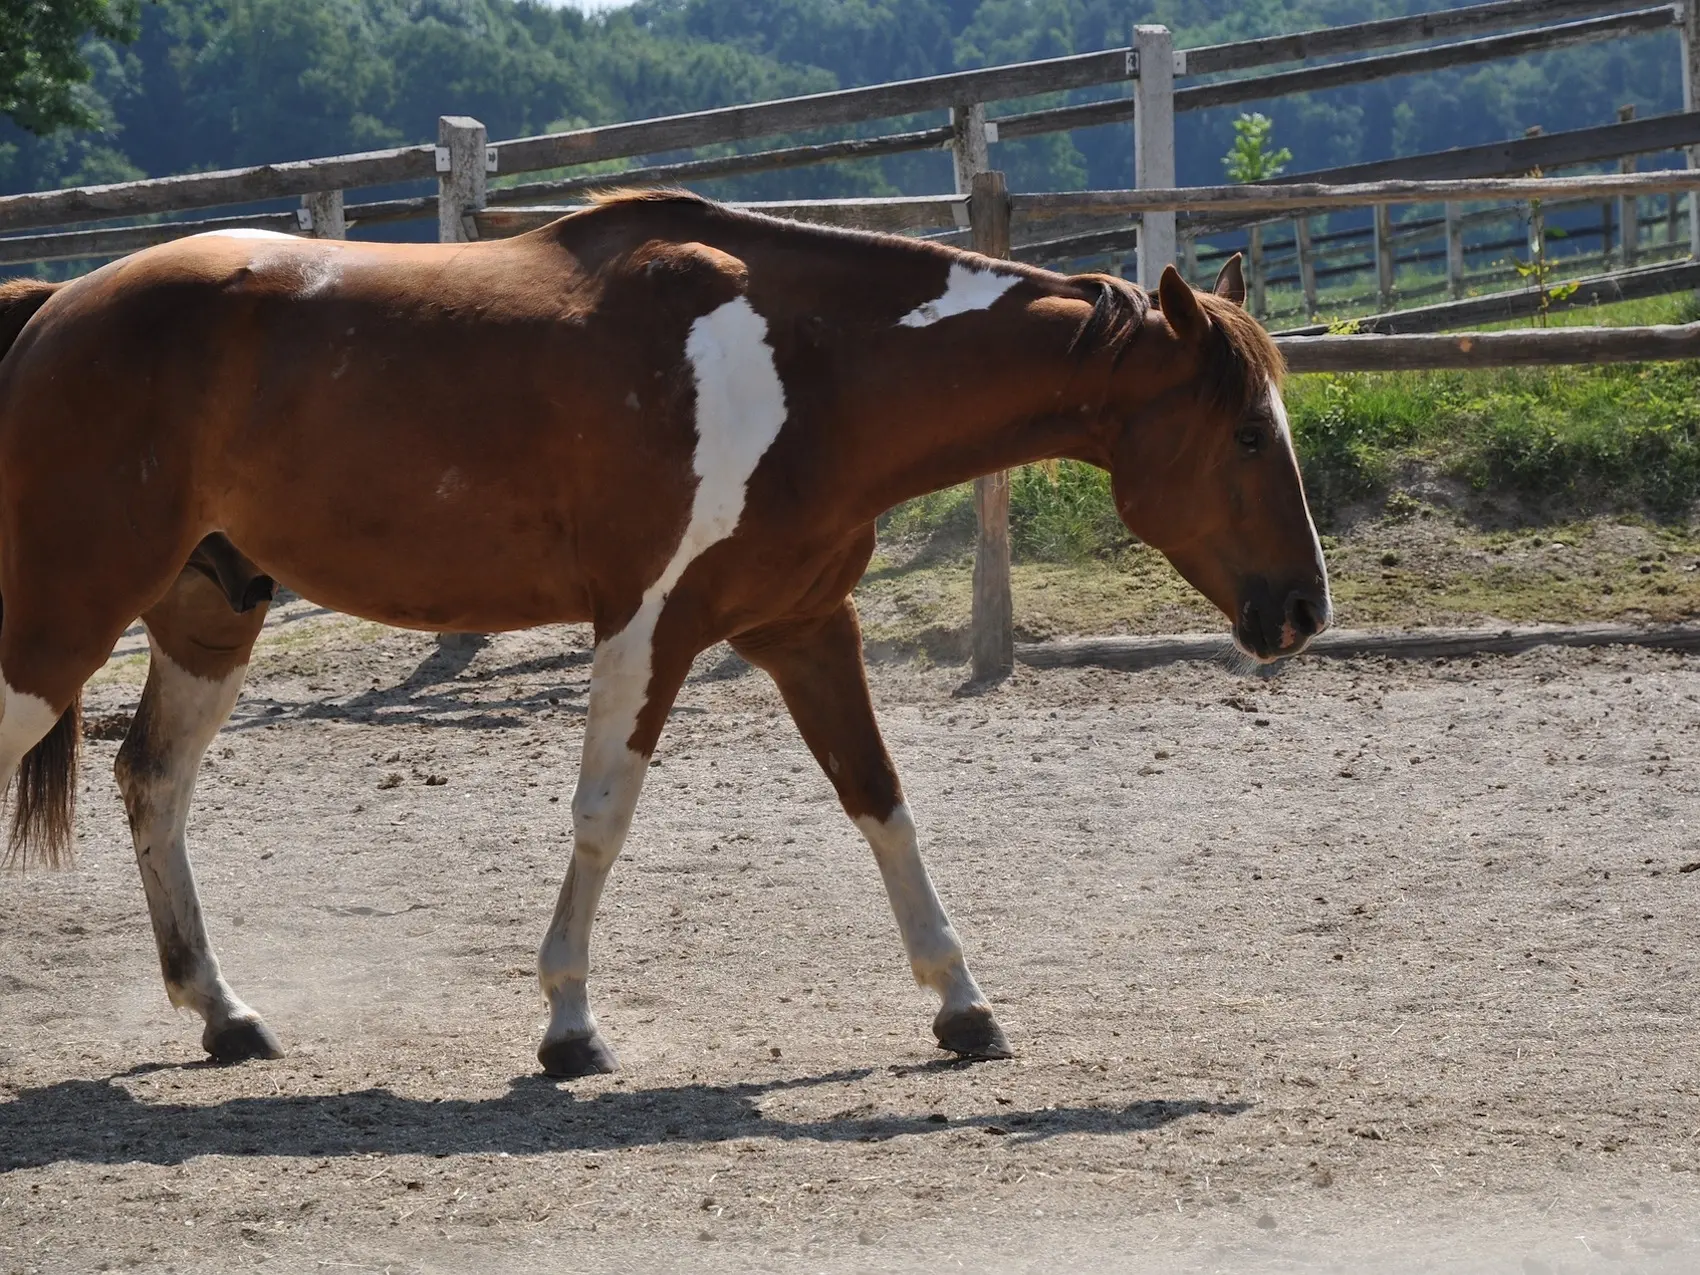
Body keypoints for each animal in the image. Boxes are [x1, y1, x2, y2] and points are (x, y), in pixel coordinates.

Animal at [0, 189, 1326, 1081]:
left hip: (207, 617)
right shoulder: (650, 626)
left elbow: (880, 800)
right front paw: (567, 1026)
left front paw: (963, 1005)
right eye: (1244, 432)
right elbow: (603, 815)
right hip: (59, 623)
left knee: (152, 782)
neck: (806, 365)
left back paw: (226, 1015)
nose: (1302, 611)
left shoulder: (803, 625)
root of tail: (55, 307)